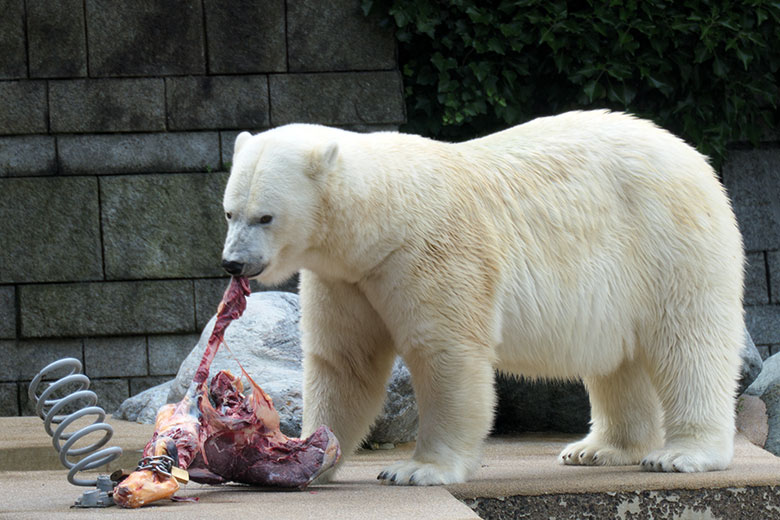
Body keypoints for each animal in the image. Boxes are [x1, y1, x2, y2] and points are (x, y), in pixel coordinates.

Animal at [219, 110, 744, 488]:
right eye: (229, 212)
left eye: (265, 216)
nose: (233, 263)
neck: (384, 217)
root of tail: (691, 156)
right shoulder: (347, 277)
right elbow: (343, 361)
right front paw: (310, 455)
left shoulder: (430, 254)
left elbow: (446, 354)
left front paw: (417, 469)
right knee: (618, 359)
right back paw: (598, 448)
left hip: (668, 240)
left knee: (688, 343)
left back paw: (680, 454)